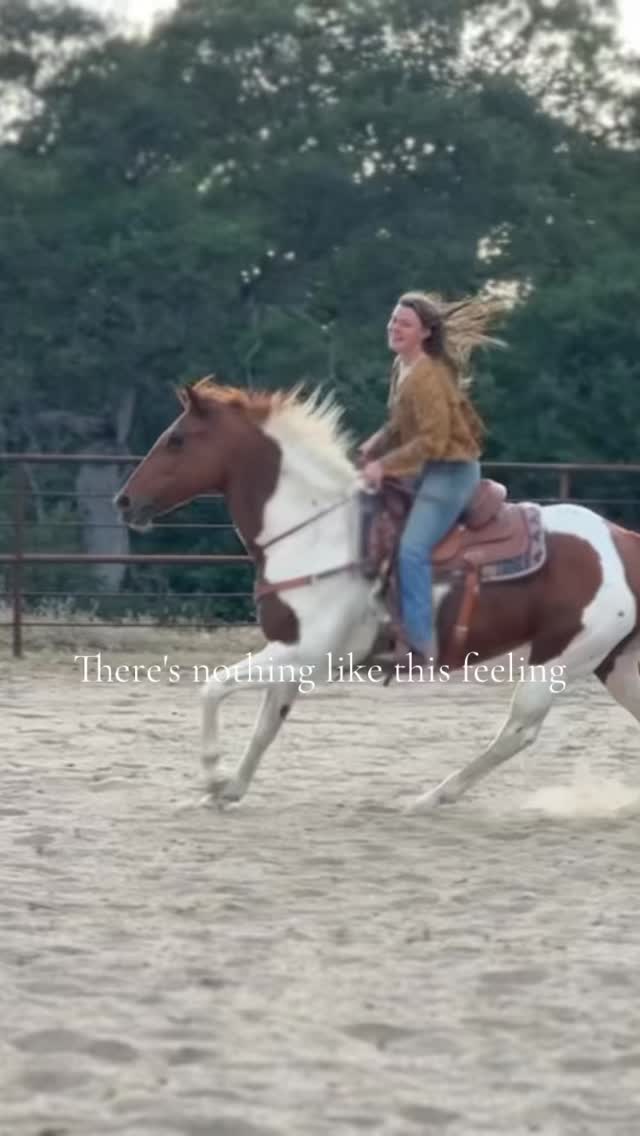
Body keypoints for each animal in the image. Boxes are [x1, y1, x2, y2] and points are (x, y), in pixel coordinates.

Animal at [114, 378, 640, 811]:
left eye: (177, 439)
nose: (124, 501)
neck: (316, 533)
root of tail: (623, 541)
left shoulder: (304, 652)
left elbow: (212, 687)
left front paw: (212, 775)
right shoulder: (291, 651)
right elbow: (266, 726)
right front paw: (229, 791)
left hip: (559, 659)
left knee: (517, 731)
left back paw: (431, 797)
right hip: (615, 664)